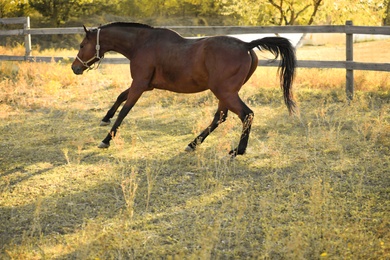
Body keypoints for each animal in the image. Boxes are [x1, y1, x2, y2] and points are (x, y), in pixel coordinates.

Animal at [71, 22, 296, 156]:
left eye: (82, 45)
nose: (75, 68)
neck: (141, 44)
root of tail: (246, 45)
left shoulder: (139, 84)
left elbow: (125, 111)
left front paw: (106, 140)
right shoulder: (145, 85)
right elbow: (120, 97)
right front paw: (105, 118)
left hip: (225, 92)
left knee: (246, 114)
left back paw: (237, 151)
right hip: (225, 93)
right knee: (221, 117)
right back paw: (192, 144)